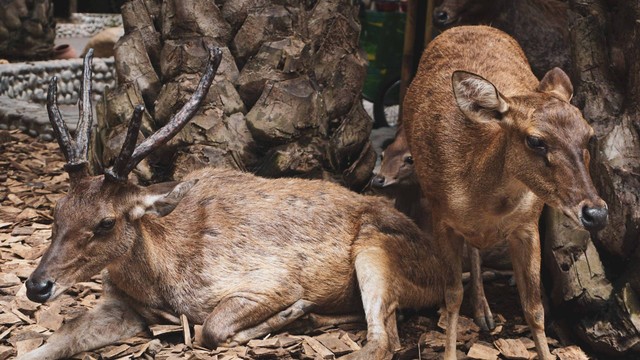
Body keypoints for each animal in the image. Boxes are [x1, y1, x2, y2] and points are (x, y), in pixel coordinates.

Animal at [17, 47, 458, 360]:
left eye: (106, 222)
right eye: (57, 211)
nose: (37, 286)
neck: (162, 280)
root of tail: (442, 267)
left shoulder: (270, 280)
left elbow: (211, 328)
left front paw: (286, 313)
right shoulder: (123, 306)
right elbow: (63, 335)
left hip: (376, 250)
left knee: (383, 340)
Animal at [402, 26, 608, 360]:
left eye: (589, 135)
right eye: (535, 140)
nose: (596, 213)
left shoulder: (527, 225)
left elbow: (534, 308)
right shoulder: (441, 218)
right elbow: (451, 297)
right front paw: (449, 352)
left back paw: (485, 313)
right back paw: (483, 312)